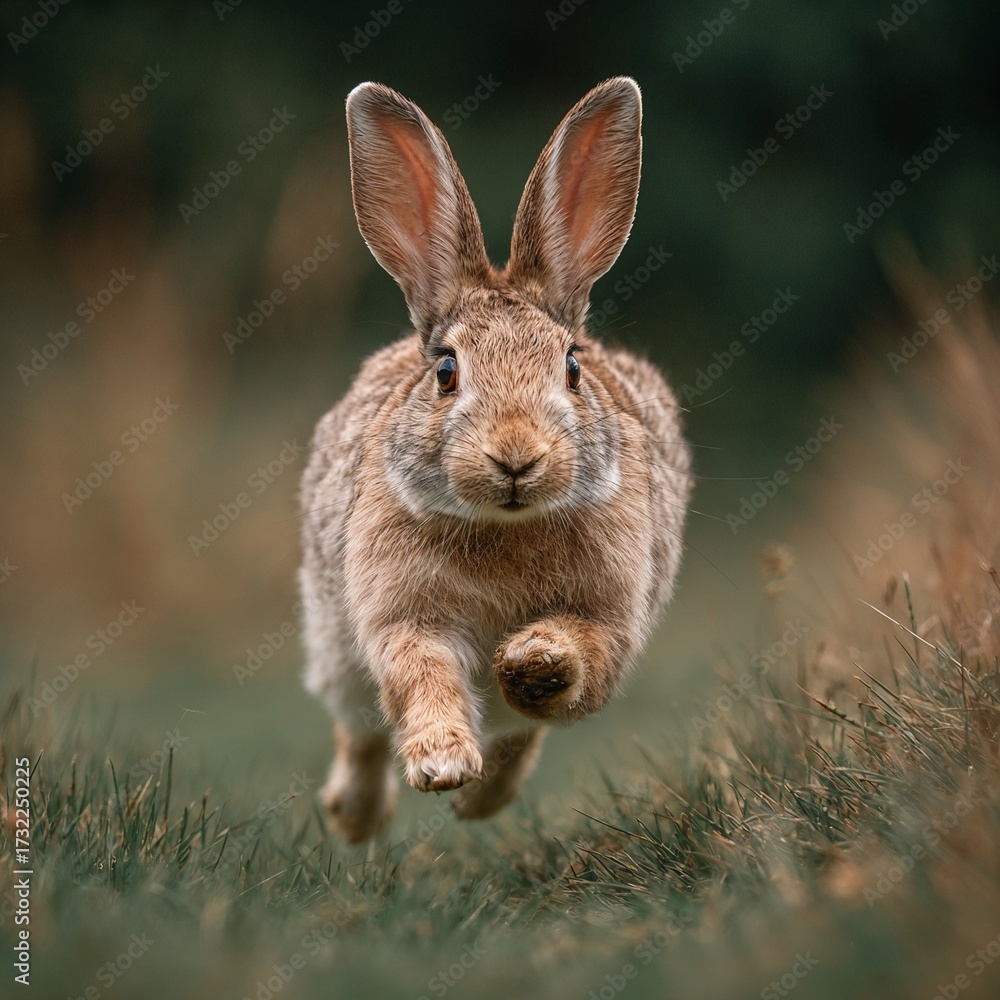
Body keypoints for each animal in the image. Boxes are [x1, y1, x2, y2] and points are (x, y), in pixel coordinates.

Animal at [300, 77, 692, 843]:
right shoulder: (401, 617)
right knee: (360, 732)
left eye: (572, 367)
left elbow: (584, 658)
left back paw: (478, 803)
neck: (507, 524)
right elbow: (421, 677)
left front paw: (533, 657)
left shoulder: (616, 611)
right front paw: (442, 762)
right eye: (447, 371)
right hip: (332, 642)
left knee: (520, 738)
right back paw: (355, 817)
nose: (516, 456)